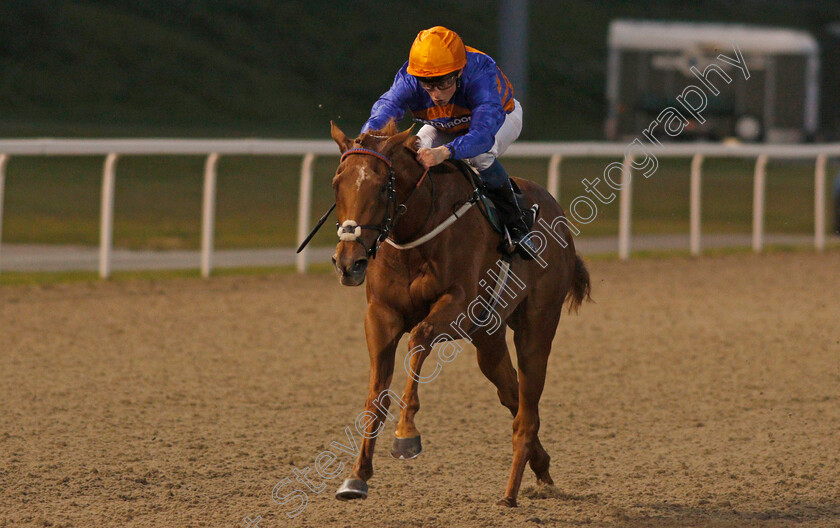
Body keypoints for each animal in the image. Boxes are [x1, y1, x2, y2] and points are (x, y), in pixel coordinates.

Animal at [328, 120, 592, 508]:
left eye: (380, 187)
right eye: (337, 183)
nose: (349, 263)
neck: (417, 231)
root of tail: (554, 208)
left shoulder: (460, 310)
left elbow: (420, 338)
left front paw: (406, 434)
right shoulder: (380, 315)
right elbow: (376, 393)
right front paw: (357, 476)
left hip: (537, 325)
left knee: (528, 406)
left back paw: (511, 492)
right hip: (490, 337)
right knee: (512, 394)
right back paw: (540, 466)